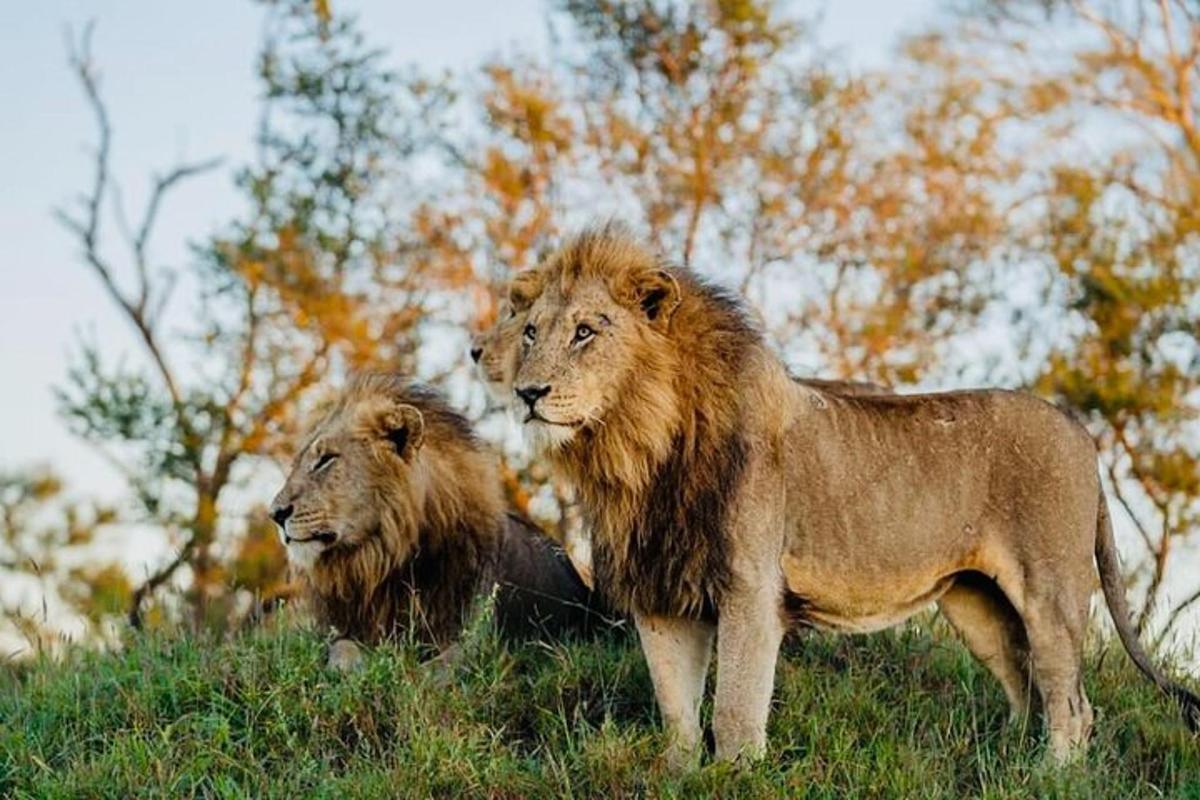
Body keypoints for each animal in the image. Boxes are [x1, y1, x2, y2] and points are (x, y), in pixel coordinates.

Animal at [268, 374, 614, 671]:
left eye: (326, 460)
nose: (275, 514)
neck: (386, 563)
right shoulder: (348, 629)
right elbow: (342, 652)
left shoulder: (480, 640)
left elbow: (432, 672)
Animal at [508, 227, 1200, 767]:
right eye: (531, 333)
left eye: (586, 332)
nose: (526, 393)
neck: (638, 449)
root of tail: (1082, 434)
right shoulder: (660, 592)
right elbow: (676, 716)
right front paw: (681, 778)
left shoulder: (750, 589)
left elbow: (734, 714)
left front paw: (734, 776)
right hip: (977, 604)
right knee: (1025, 689)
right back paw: (1010, 764)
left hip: (1050, 590)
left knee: (1070, 705)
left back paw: (1047, 777)